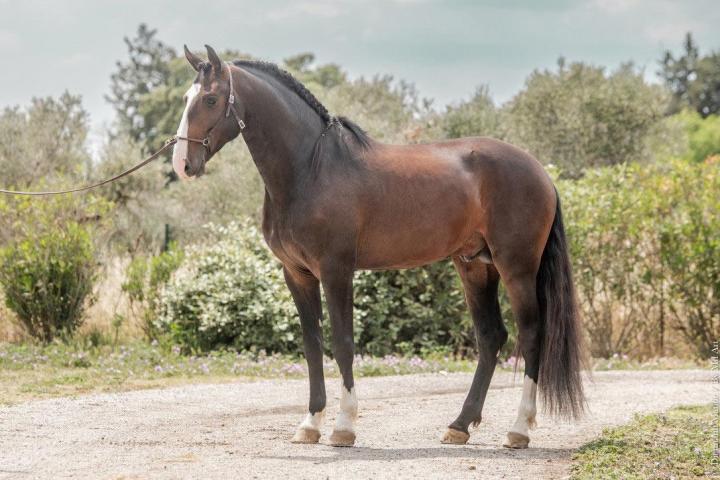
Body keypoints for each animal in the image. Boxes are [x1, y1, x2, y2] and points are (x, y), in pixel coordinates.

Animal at [173, 45, 585, 449]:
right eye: (186, 98)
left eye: (210, 99)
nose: (182, 164)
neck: (311, 169)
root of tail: (540, 172)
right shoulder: (298, 275)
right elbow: (312, 345)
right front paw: (310, 423)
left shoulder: (336, 270)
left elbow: (342, 342)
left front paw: (343, 426)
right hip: (474, 266)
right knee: (491, 337)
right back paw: (459, 426)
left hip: (516, 268)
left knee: (531, 334)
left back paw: (518, 430)